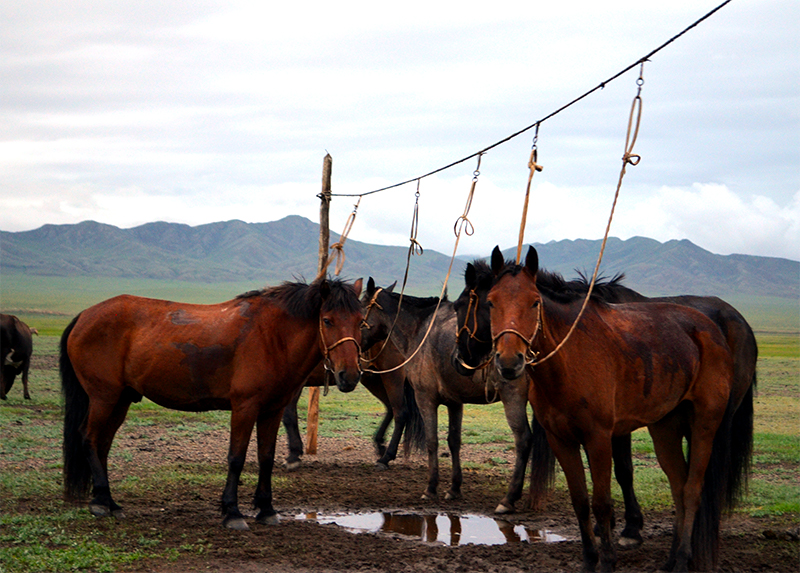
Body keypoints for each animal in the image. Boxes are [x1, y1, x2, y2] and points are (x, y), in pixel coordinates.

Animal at [60, 274, 362, 528]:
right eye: (327, 320)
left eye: (361, 321)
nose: (349, 375)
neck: (272, 337)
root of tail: (84, 315)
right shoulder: (244, 408)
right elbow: (236, 458)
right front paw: (232, 512)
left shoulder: (272, 410)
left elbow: (266, 457)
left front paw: (266, 510)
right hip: (104, 397)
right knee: (89, 438)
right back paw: (100, 503)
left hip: (120, 400)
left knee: (102, 444)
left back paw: (109, 502)